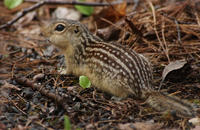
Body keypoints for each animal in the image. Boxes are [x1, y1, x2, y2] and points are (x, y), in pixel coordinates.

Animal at [41, 19, 196, 118]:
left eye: (59, 27)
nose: (44, 33)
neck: (81, 42)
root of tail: (144, 85)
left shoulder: (73, 60)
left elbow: (69, 71)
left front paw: (59, 70)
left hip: (114, 82)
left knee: (127, 94)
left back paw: (116, 98)